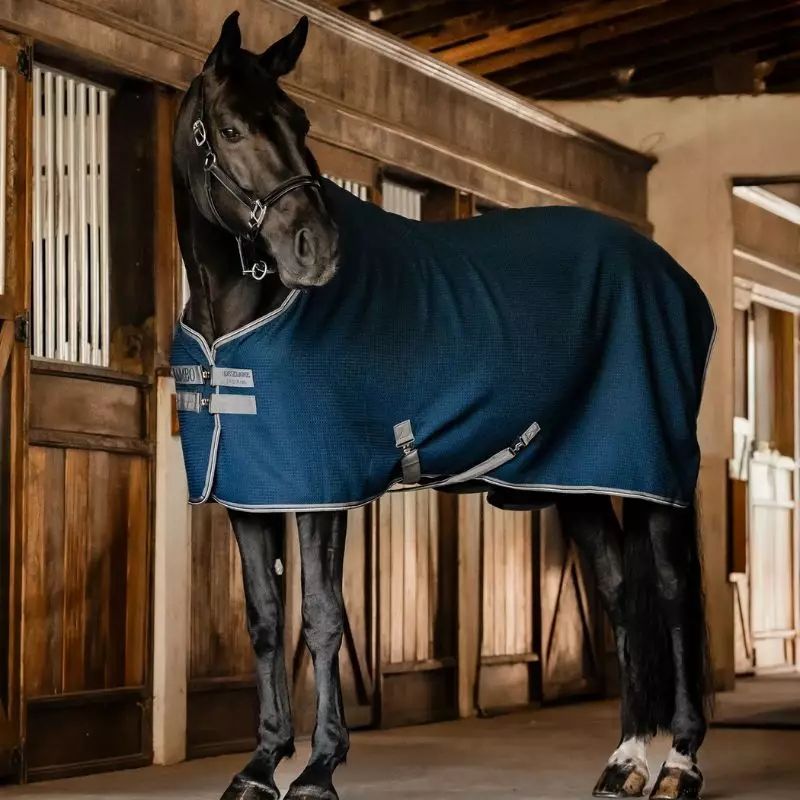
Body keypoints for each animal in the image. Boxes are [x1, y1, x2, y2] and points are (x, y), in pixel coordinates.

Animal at [171, 12, 713, 800]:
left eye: (301, 121)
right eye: (233, 129)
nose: (318, 250)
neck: (239, 315)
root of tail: (673, 277)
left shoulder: (322, 489)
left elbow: (323, 618)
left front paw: (319, 769)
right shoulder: (251, 490)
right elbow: (267, 621)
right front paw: (261, 765)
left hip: (652, 471)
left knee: (672, 597)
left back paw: (678, 764)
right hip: (579, 479)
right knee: (618, 595)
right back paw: (626, 761)